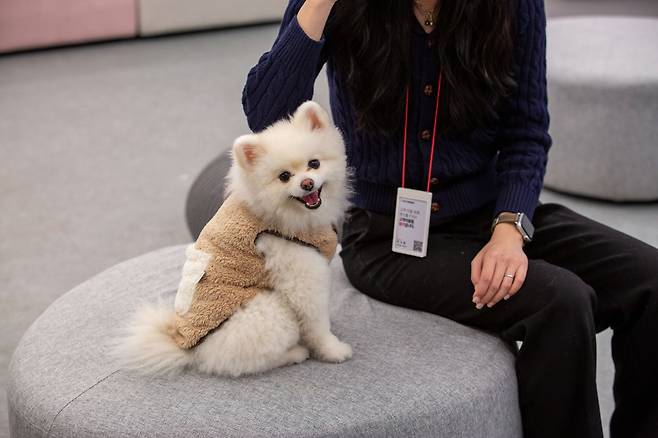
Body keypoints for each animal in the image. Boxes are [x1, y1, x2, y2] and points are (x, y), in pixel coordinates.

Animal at [110, 102, 354, 376]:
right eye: (284, 176)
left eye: (314, 163)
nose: (307, 183)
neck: (286, 215)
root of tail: (187, 348)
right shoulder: (302, 273)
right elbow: (316, 320)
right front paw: (333, 350)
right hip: (270, 309)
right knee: (245, 361)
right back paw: (295, 353)